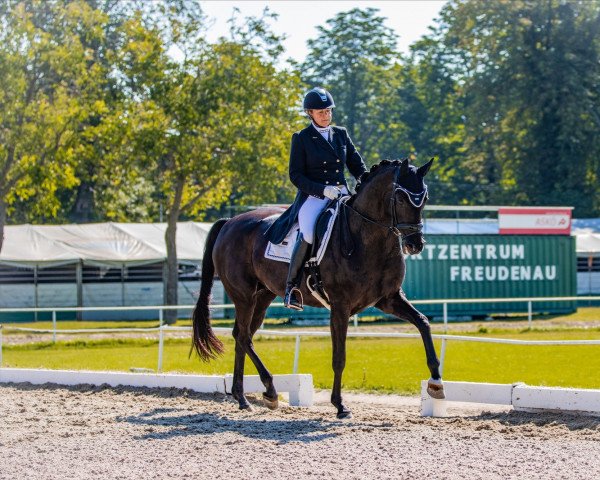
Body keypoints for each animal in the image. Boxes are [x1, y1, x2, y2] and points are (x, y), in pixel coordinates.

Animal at [192, 159, 446, 418]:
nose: (415, 245)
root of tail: (230, 222)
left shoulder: (389, 299)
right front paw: (340, 405)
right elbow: (339, 357)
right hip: (244, 296)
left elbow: (423, 323)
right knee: (243, 336)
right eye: (401, 198)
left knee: (243, 336)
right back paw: (268, 390)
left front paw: (436, 383)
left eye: (424, 198)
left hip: (262, 297)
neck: (367, 237)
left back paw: (243, 397)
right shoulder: (340, 306)